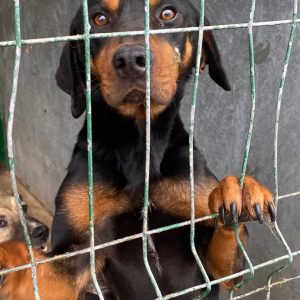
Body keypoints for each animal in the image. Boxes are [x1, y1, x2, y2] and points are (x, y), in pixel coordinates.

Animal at [0, 1, 276, 298]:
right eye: (98, 19)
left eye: (168, 13)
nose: (131, 59)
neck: (139, 147)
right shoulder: (75, 250)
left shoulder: (219, 269)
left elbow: (227, 243)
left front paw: (238, 189)